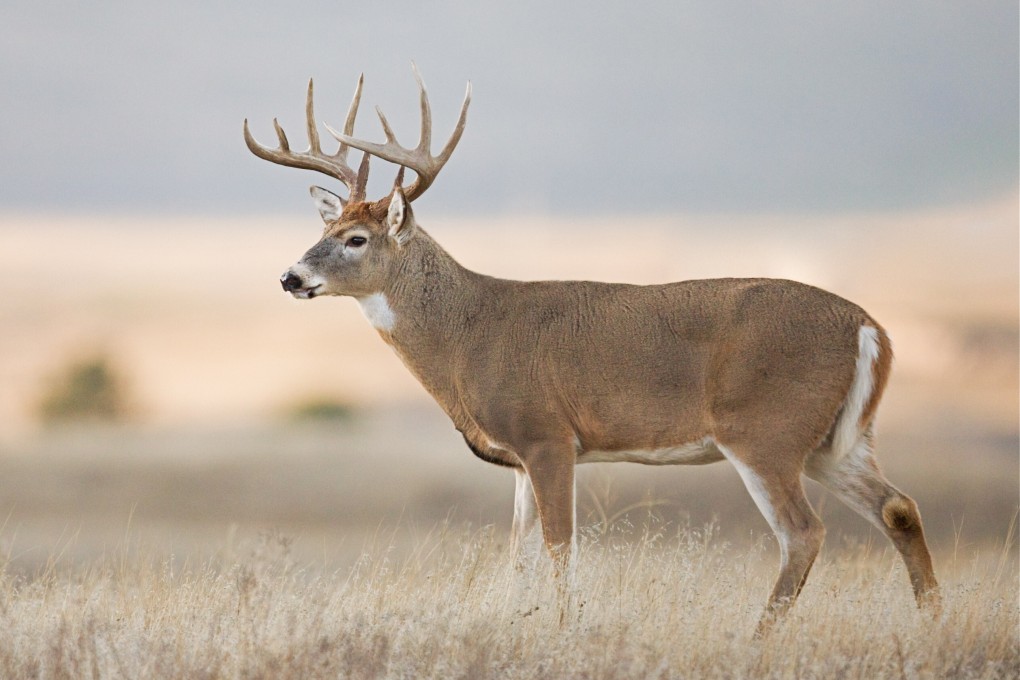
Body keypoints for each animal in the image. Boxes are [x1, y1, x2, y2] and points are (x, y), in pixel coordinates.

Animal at [243, 66, 940, 631]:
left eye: (356, 239)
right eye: (325, 227)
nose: (290, 278)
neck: (470, 334)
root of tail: (869, 327)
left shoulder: (548, 434)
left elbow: (559, 547)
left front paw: (562, 628)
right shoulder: (519, 459)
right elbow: (519, 555)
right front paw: (518, 622)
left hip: (764, 429)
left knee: (804, 532)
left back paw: (759, 638)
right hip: (833, 440)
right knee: (899, 507)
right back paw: (930, 622)